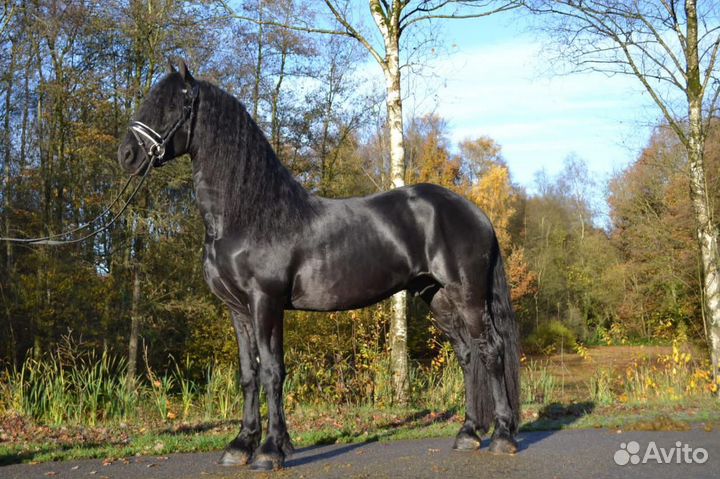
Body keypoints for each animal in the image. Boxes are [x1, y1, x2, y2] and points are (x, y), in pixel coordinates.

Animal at [117, 60, 521, 471]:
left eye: (171, 105)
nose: (127, 154)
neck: (249, 215)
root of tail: (474, 212)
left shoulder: (266, 302)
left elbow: (272, 371)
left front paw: (270, 451)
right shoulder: (238, 309)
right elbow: (249, 374)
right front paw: (242, 445)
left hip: (467, 295)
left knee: (491, 351)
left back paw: (503, 436)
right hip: (436, 297)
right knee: (467, 356)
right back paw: (467, 434)